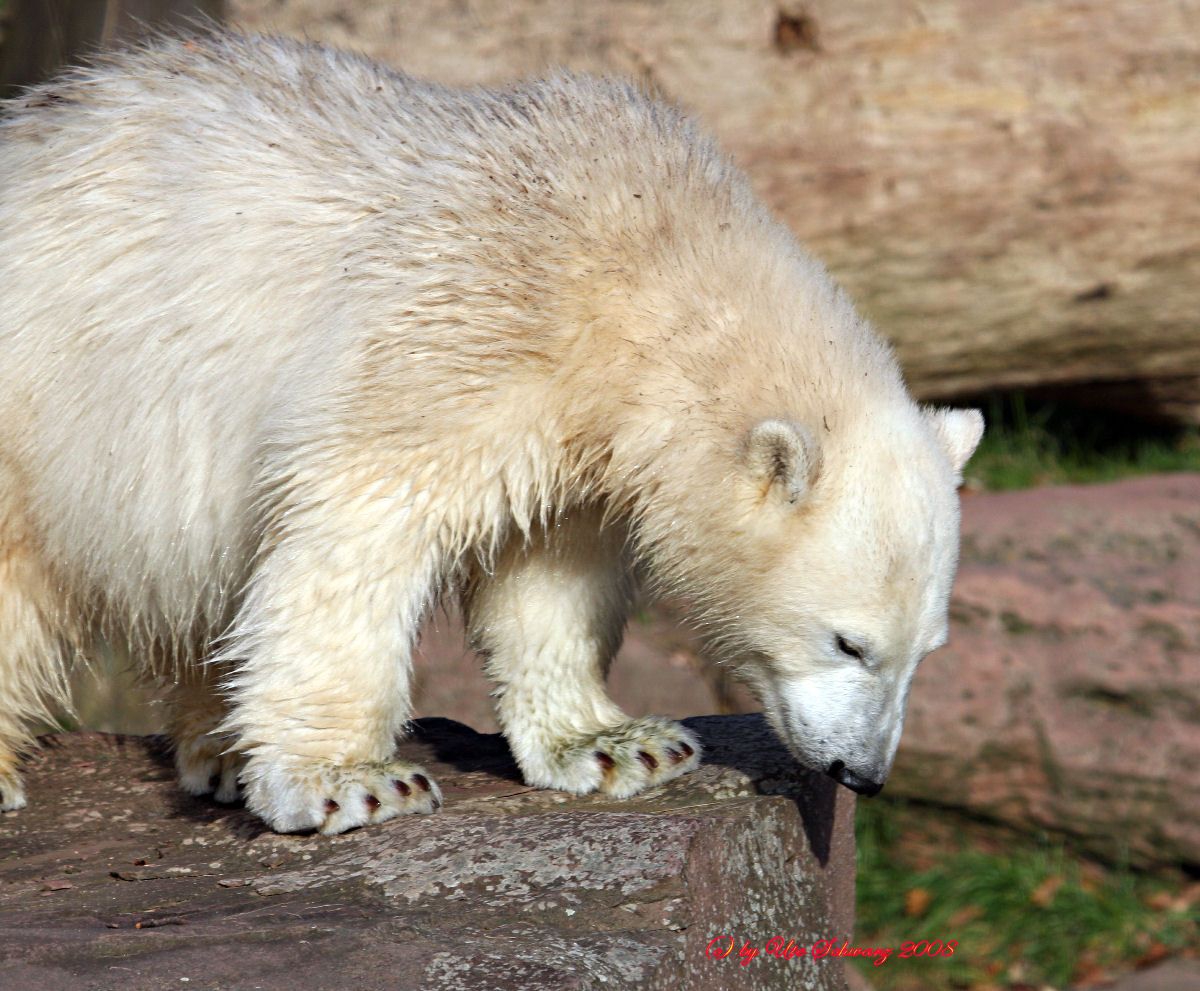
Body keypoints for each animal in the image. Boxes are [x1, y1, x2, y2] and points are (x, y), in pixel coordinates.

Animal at [0, 30, 979, 830]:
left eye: (926, 650)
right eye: (849, 641)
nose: (863, 773)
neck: (643, 252)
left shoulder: (579, 437)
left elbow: (548, 570)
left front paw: (616, 743)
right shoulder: (463, 330)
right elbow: (353, 524)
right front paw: (349, 781)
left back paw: (219, 751)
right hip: (43, 389)